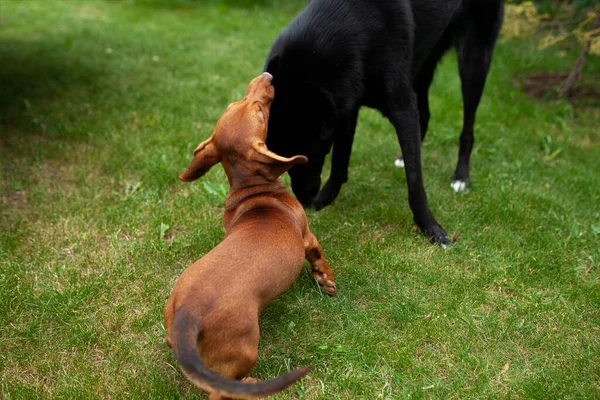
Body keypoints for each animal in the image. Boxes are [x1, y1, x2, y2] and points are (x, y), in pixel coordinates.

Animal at [264, 0, 504, 247]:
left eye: (306, 157)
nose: (305, 199)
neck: (354, 24)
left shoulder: (401, 108)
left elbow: (415, 182)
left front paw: (431, 227)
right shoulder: (347, 104)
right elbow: (340, 162)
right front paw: (325, 199)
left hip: (473, 60)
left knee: (467, 127)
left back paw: (461, 177)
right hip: (423, 63)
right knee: (425, 115)